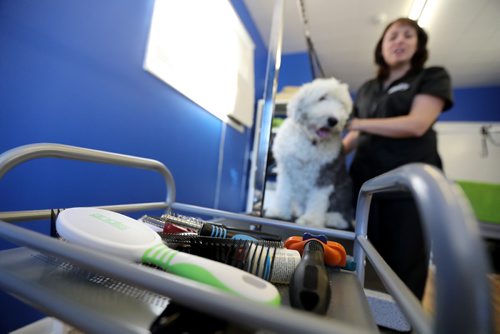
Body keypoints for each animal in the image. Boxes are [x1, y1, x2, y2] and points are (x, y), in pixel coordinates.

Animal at [268, 77, 354, 230]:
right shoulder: (286, 169)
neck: (311, 141)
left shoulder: (325, 173)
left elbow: (318, 199)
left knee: (341, 212)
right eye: (322, 98)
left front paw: (310, 220)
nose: (333, 120)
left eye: (342, 104)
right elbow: (283, 191)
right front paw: (279, 212)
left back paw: (333, 219)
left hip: (344, 189)